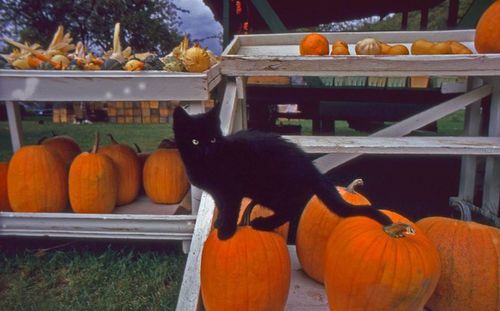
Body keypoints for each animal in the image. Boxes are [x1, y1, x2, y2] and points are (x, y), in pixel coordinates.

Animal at [174, 105, 392, 241]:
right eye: (195, 141)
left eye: (212, 140)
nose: (206, 151)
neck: (208, 163)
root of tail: (311, 167)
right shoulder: (218, 194)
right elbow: (221, 207)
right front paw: (219, 223)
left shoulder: (231, 192)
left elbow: (230, 210)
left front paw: (226, 232)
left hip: (272, 190)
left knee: (291, 209)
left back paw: (264, 223)